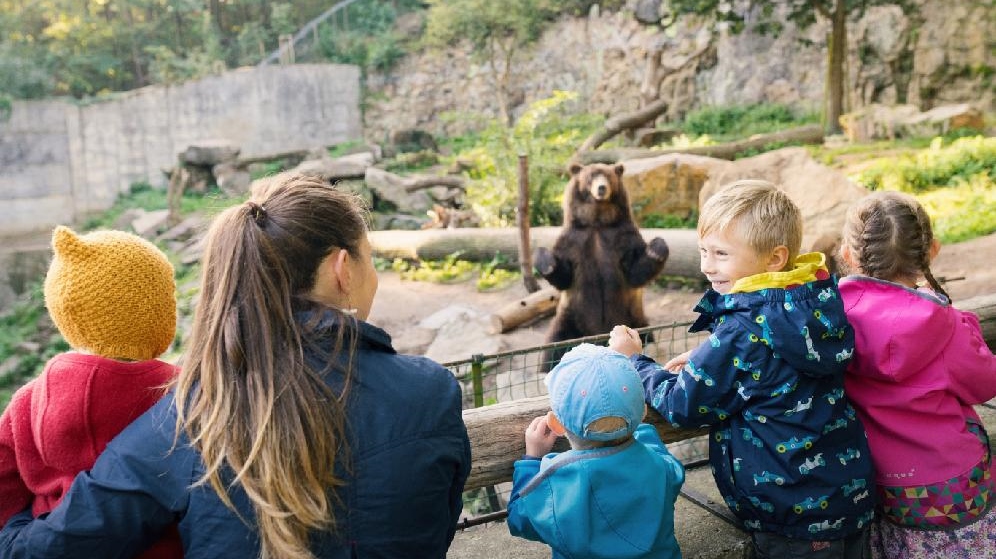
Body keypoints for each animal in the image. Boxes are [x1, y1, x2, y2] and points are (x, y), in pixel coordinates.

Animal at [536, 162, 668, 372]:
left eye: (608, 176)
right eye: (591, 176)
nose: (601, 188)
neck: (597, 222)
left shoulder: (621, 237)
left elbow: (635, 271)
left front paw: (657, 248)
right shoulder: (575, 240)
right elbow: (564, 275)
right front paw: (545, 260)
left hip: (636, 320)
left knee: (649, 338)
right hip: (570, 318)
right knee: (553, 347)